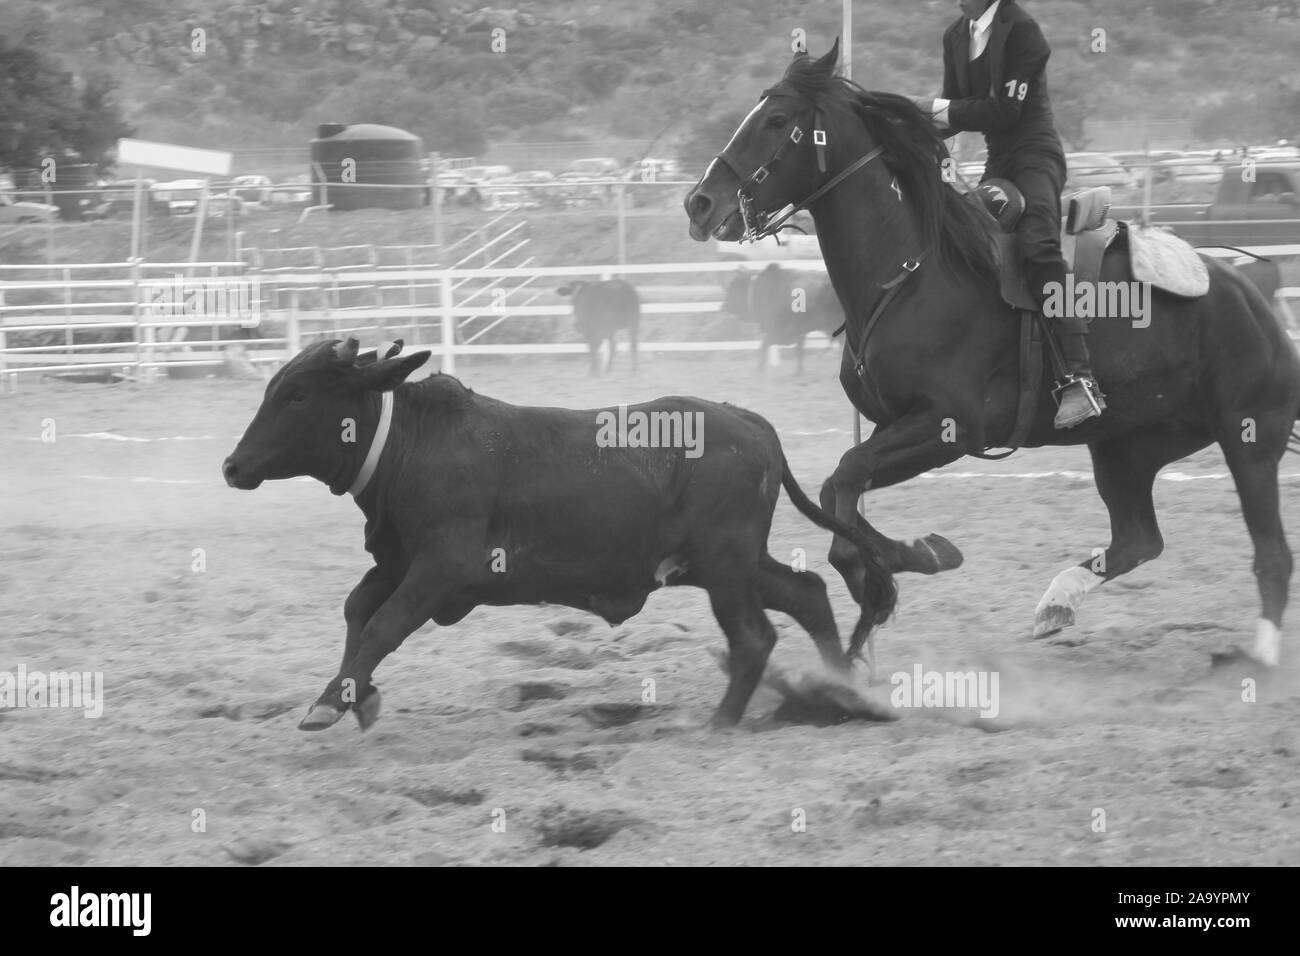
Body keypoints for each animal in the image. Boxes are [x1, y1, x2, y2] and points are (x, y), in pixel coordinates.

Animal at [686, 41, 1300, 671]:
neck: (914, 272)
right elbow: (840, 493)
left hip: (1249, 438)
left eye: (777, 120)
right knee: (1138, 540)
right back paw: (1056, 604)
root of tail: (1250, 290)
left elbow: (846, 478)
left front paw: (901, 565)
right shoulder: (893, 424)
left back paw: (1261, 654)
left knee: (1272, 553)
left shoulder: (950, 427)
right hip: (1128, 446)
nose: (700, 203)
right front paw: (906, 562)